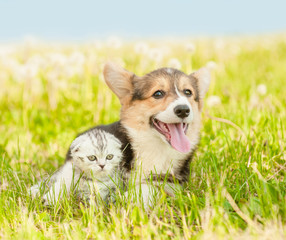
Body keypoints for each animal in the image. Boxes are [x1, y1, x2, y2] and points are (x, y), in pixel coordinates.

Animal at [103, 62, 210, 207]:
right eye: (158, 93)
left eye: (188, 92)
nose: (183, 110)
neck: (157, 147)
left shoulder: (173, 183)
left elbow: (151, 186)